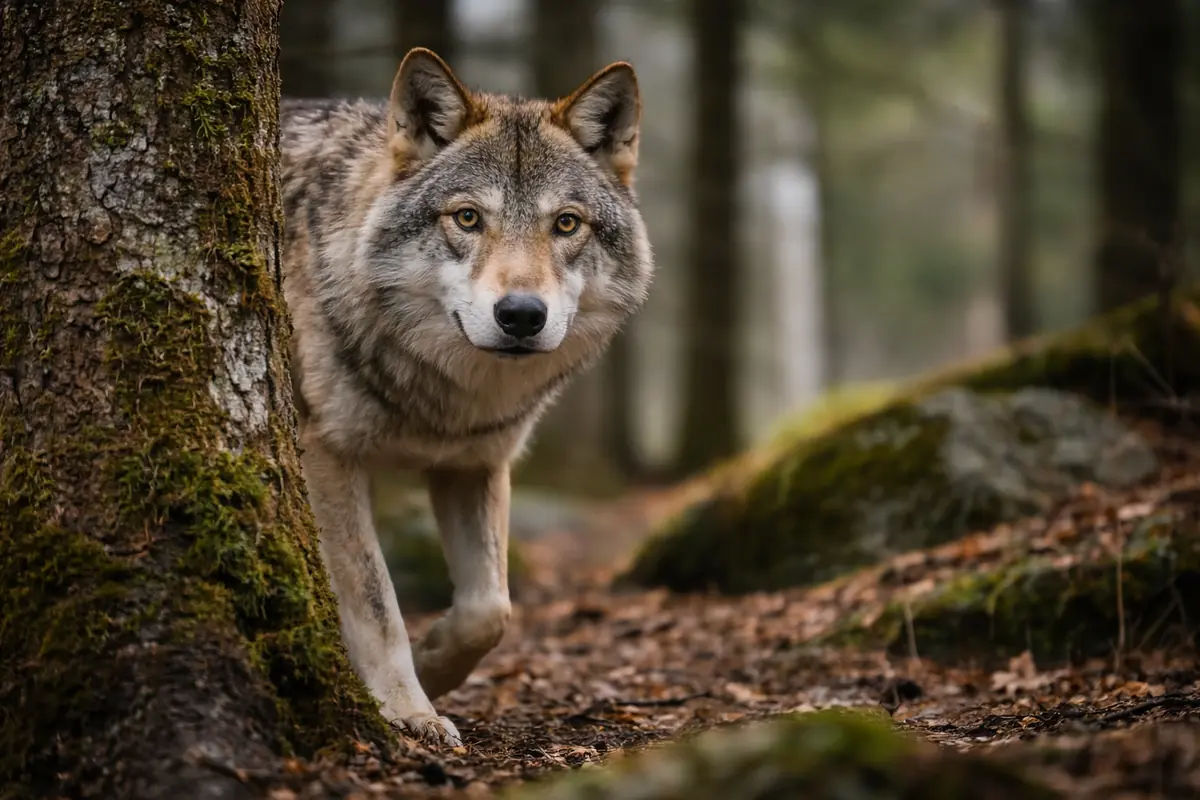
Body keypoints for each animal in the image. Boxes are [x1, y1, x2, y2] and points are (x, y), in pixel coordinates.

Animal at [278, 47, 654, 746]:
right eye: (468, 218)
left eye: (566, 224)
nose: (522, 315)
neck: (440, 397)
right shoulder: (327, 457)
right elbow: (377, 602)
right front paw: (408, 710)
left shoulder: (476, 462)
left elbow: (490, 610)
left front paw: (432, 669)